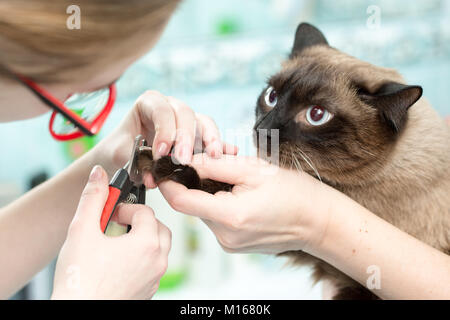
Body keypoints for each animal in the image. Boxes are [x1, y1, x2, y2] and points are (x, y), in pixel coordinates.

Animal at [137, 23, 450, 300]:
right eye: (272, 96)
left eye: (316, 115)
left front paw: (166, 163)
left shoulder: (325, 259)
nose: (263, 129)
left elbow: (210, 182)